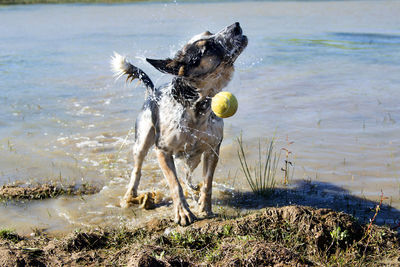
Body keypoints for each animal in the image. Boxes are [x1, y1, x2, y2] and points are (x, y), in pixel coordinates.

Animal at [110, 22, 247, 226]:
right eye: (208, 47)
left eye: (210, 32)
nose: (236, 25)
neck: (196, 105)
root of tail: (152, 92)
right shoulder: (162, 151)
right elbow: (175, 184)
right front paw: (183, 212)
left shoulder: (212, 149)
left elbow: (207, 182)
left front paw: (205, 208)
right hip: (142, 141)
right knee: (137, 170)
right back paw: (130, 195)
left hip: (193, 157)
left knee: (188, 175)